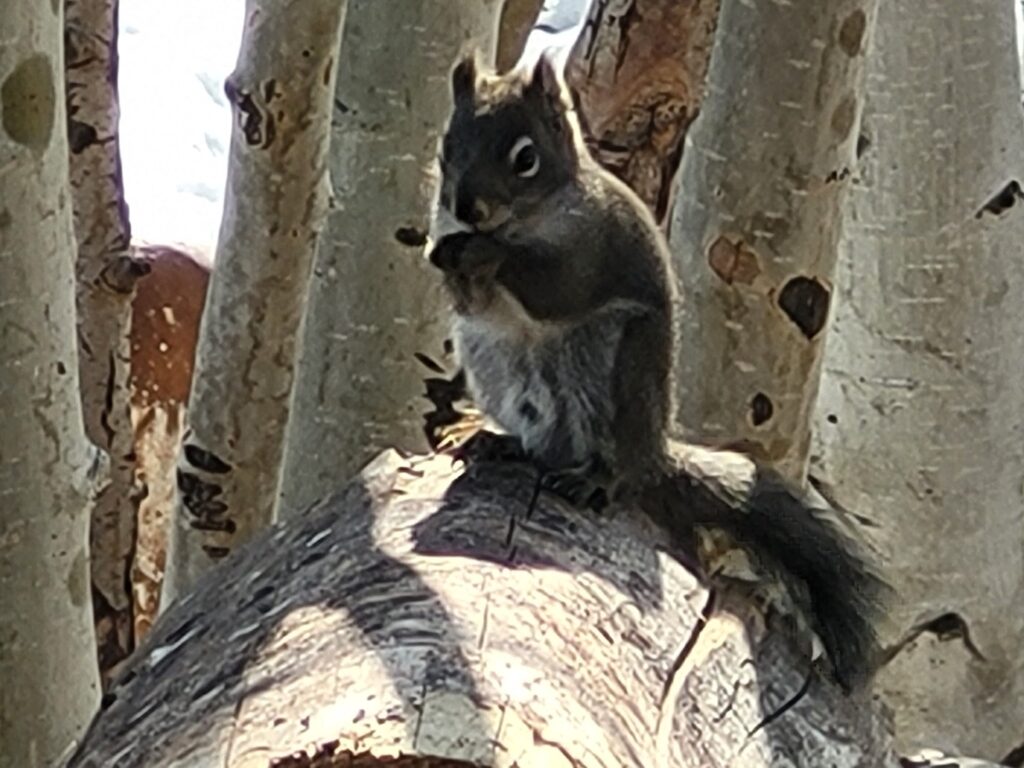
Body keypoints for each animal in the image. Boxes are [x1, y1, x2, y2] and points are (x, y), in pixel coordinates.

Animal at [424, 51, 889, 693]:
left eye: (525, 157)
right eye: (448, 144)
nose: (468, 208)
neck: (522, 222)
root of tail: (654, 452)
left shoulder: (592, 248)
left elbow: (554, 285)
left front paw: (487, 255)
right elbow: (469, 298)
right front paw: (445, 252)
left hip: (614, 365)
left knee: (613, 464)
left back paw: (597, 479)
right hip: (493, 362)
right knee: (541, 444)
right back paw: (498, 440)